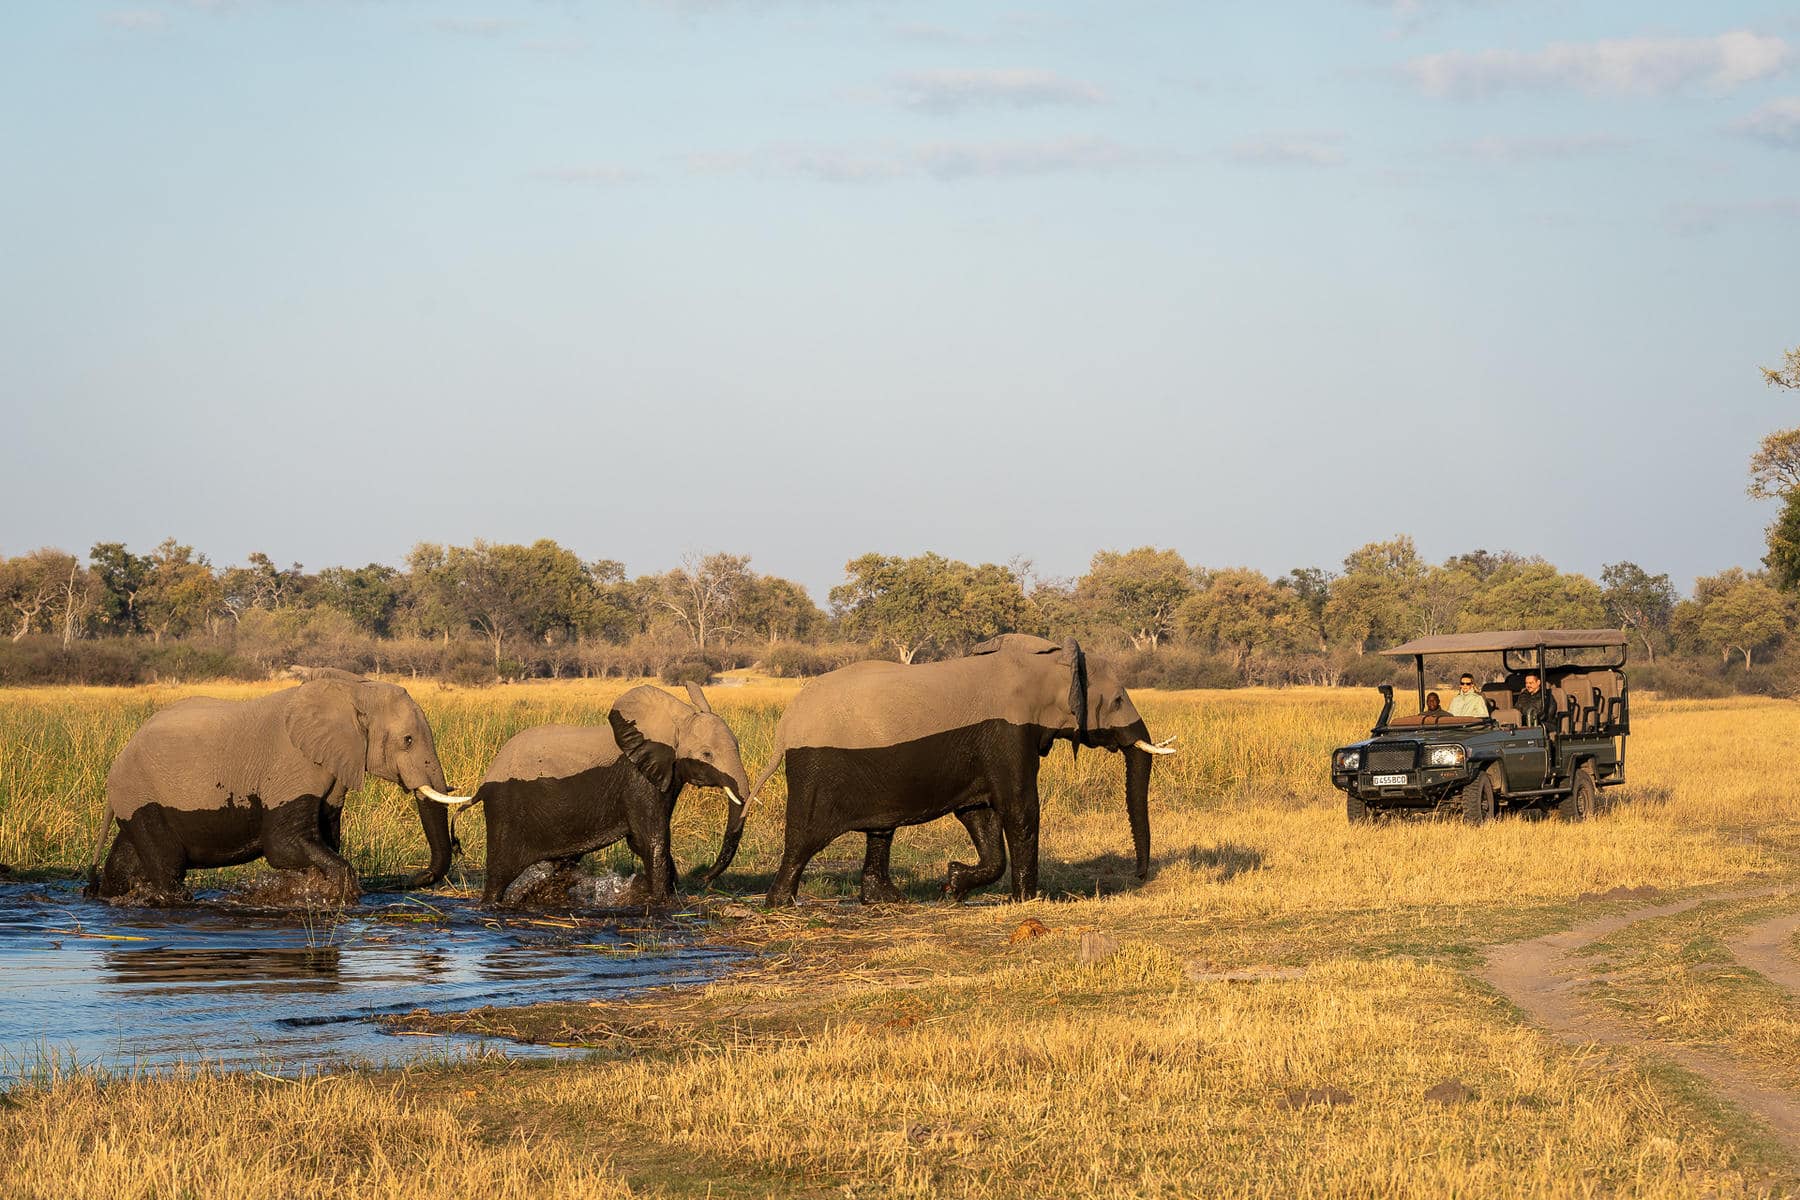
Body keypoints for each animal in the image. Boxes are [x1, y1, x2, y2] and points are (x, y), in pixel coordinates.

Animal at [86, 668, 471, 904]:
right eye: (408, 740)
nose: (401, 882)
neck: (352, 689)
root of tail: (119, 760)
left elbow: (324, 835)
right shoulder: (292, 763)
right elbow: (282, 844)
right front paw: (339, 893)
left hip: (136, 797)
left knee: (126, 860)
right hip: (140, 791)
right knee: (168, 868)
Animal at [457, 682, 752, 906]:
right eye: (707, 754)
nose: (704, 879)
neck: (670, 726)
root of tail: (484, 783)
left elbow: (643, 841)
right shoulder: (637, 779)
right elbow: (651, 841)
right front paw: (662, 902)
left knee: (560, 865)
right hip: (505, 807)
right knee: (500, 872)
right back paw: (491, 904)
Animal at [703, 634, 1174, 906]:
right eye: (1118, 700)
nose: (1139, 876)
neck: (1045, 662)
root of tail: (784, 730)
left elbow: (979, 815)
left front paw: (952, 885)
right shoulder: (1008, 734)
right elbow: (1019, 808)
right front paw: (1028, 900)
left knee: (880, 829)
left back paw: (887, 901)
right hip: (817, 765)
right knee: (805, 836)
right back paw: (781, 904)